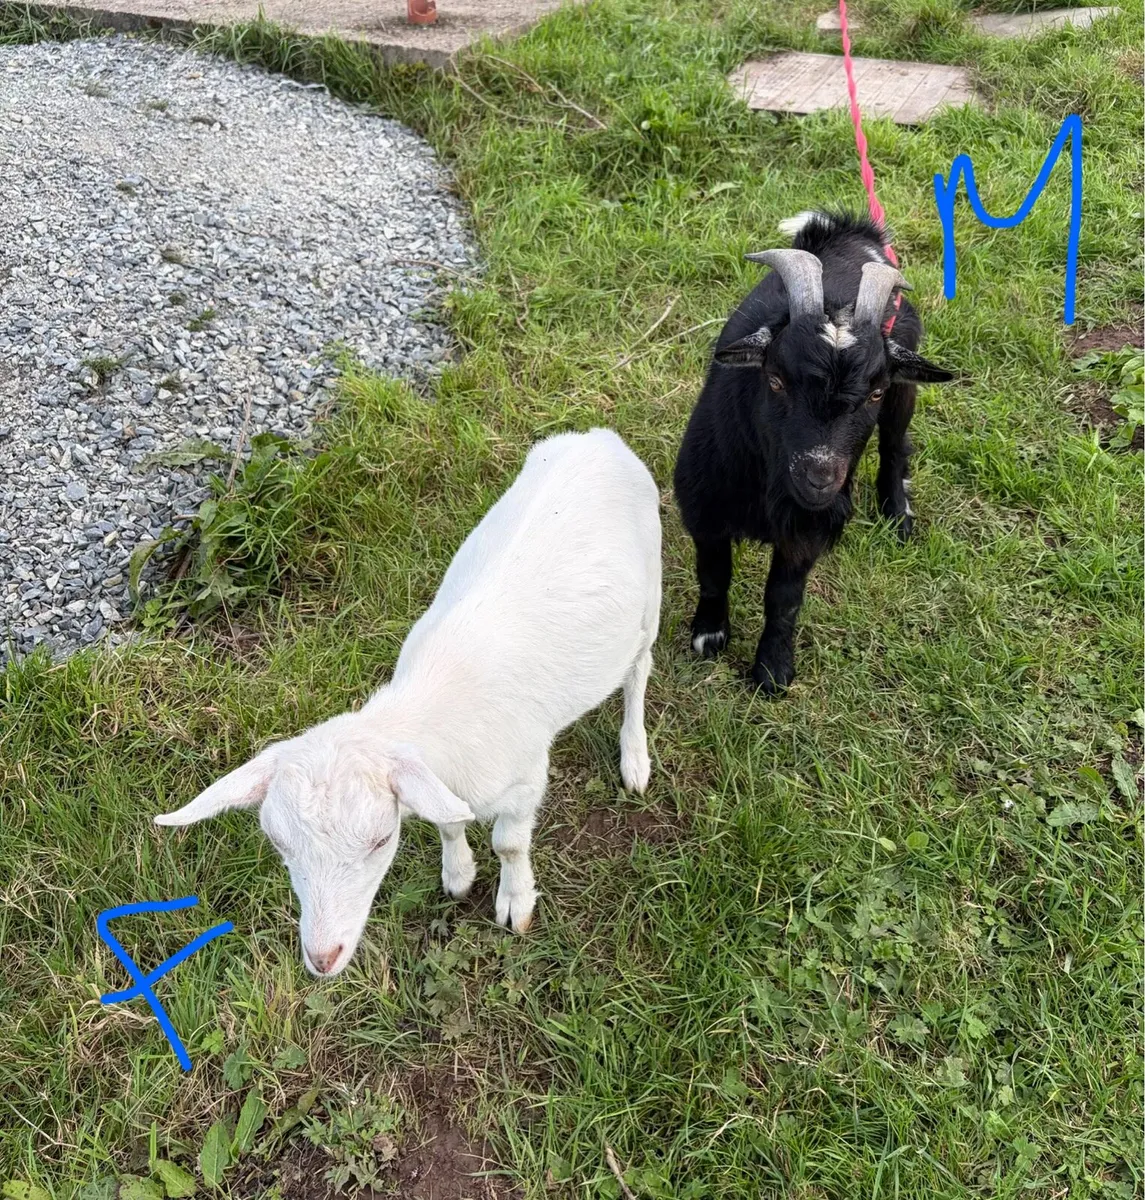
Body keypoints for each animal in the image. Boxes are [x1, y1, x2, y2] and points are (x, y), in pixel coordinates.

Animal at [155, 428, 662, 976]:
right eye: (278, 843)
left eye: (380, 840)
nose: (322, 958)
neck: (431, 711)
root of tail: (596, 437)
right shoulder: (439, 783)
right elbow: (448, 820)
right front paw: (458, 875)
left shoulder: (526, 778)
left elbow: (509, 844)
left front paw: (515, 902)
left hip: (651, 587)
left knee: (639, 671)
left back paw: (635, 758)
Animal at [673, 211, 954, 694]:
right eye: (775, 381)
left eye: (874, 391)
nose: (819, 478)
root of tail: (850, 234)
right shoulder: (703, 508)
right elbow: (713, 573)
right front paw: (709, 636)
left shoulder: (809, 528)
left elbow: (784, 598)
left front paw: (772, 671)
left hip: (906, 389)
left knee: (894, 445)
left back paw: (897, 512)